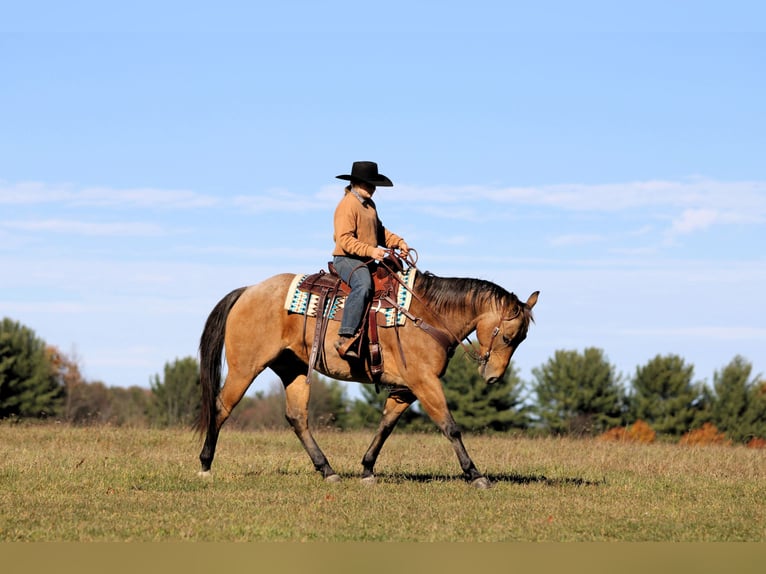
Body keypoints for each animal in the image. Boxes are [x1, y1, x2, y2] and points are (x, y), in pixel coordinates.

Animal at [196, 264, 538, 488]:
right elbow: (450, 427)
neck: (428, 314)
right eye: (508, 337)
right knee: (221, 407)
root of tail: (248, 291)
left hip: (293, 369)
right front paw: (475, 474)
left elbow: (386, 426)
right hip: (245, 368)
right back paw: (205, 463)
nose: (493, 377)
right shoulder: (424, 382)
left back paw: (327, 469)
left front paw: (367, 468)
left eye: (522, 339)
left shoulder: (406, 389)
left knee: (297, 417)